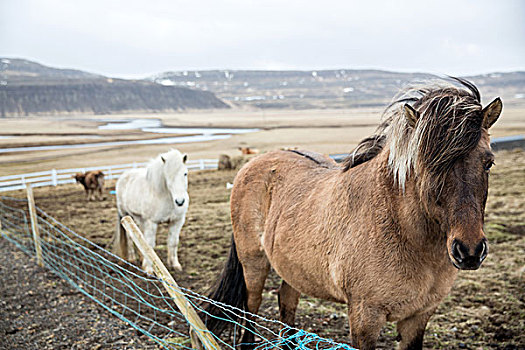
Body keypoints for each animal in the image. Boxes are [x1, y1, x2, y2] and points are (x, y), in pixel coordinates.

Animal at [203, 79, 502, 350]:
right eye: (425, 165)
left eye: (488, 162)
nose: (469, 251)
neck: (406, 235)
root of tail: (253, 163)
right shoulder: (364, 318)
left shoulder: (418, 318)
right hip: (254, 265)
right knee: (250, 311)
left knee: (286, 302)